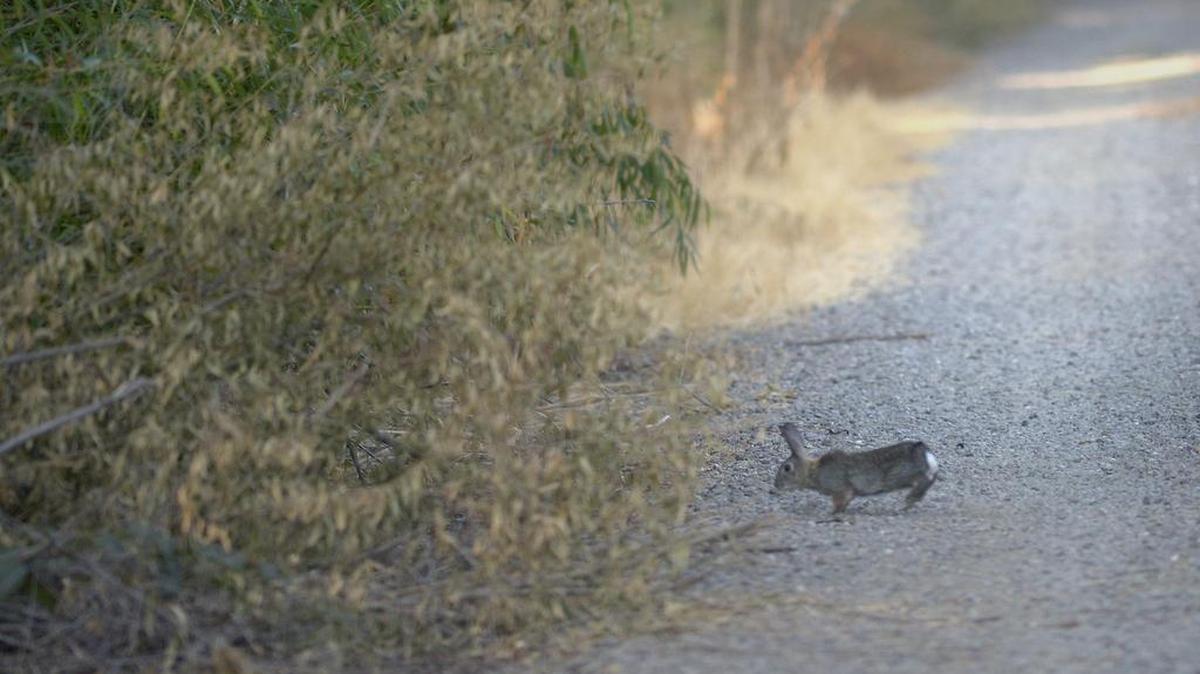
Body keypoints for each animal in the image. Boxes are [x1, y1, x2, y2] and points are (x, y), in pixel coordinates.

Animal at [772, 422, 938, 514]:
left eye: (787, 468)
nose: (776, 485)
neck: (813, 471)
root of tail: (926, 454)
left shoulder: (840, 489)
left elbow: (840, 501)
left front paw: (832, 513)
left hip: (900, 476)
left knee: (923, 481)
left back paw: (907, 501)